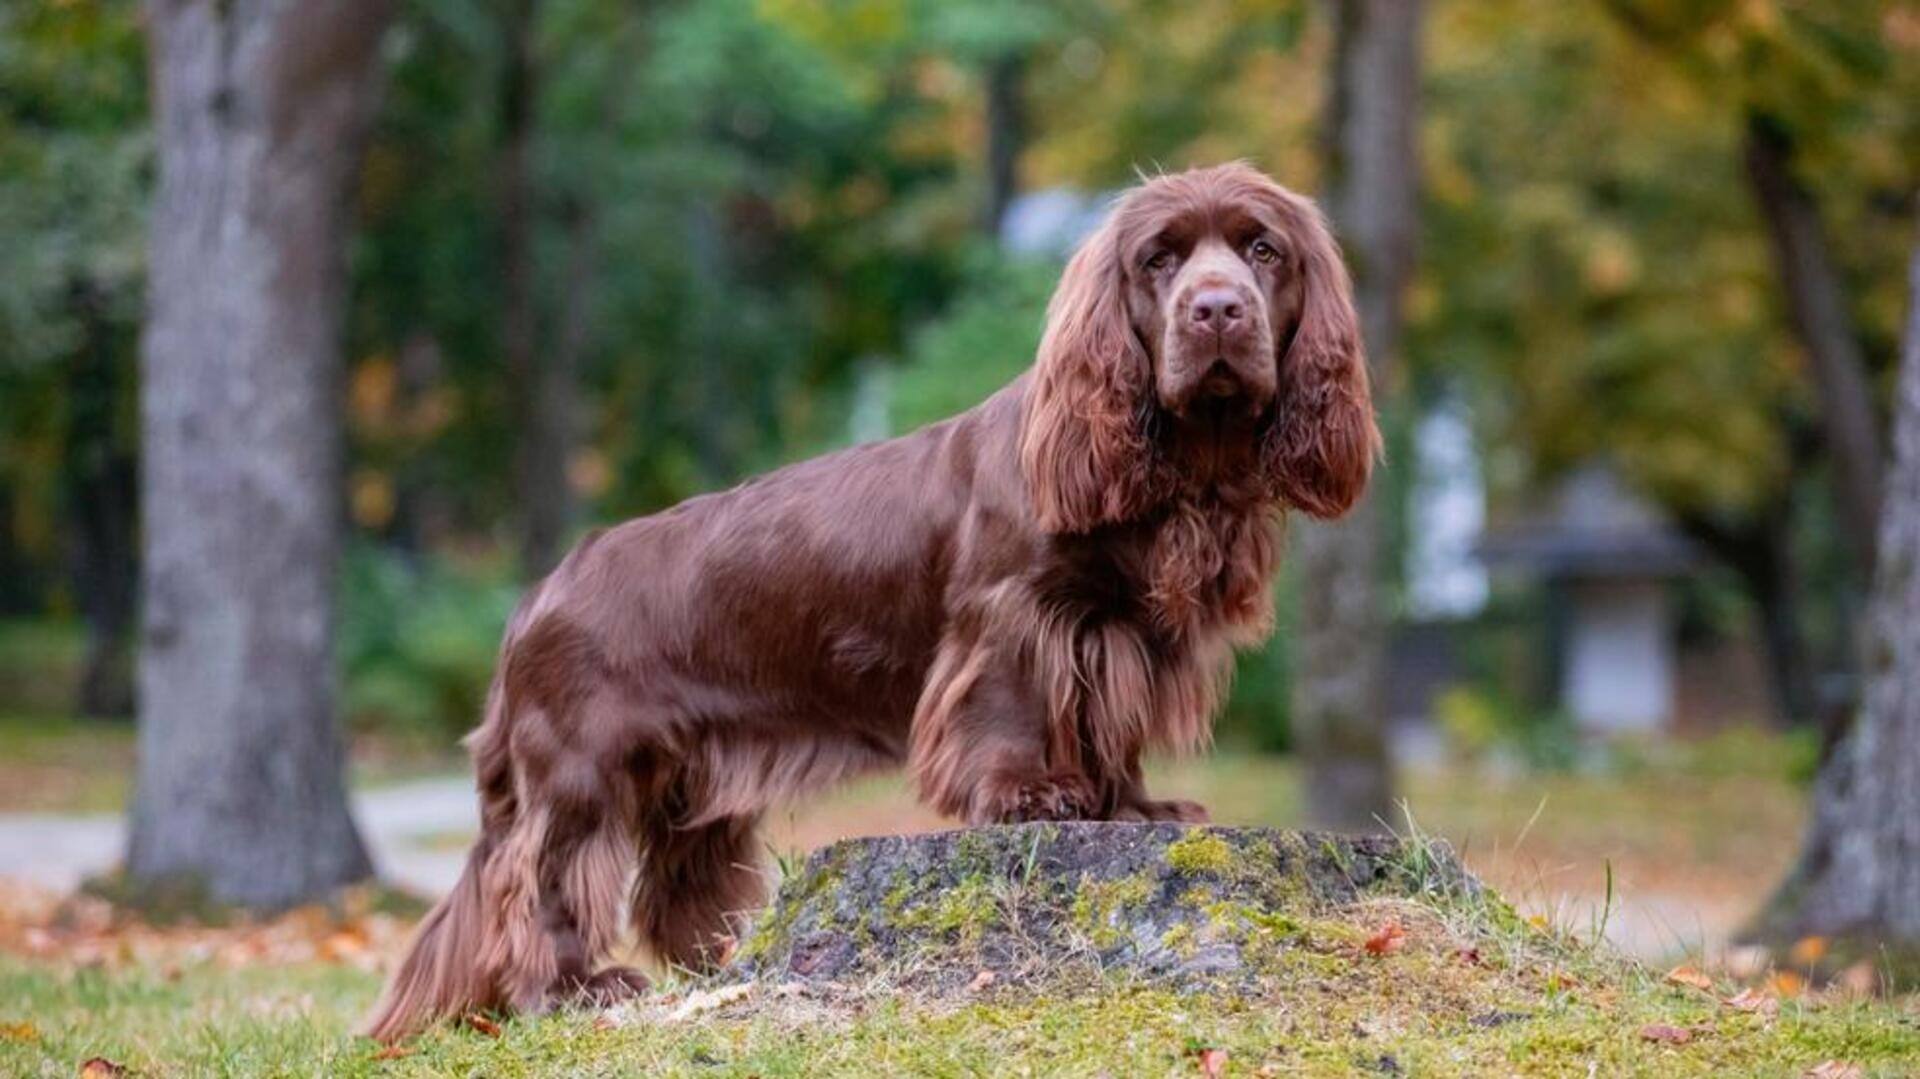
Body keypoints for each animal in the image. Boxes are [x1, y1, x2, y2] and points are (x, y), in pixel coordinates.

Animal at [362, 159, 1382, 1036]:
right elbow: (1016, 708)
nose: (1217, 310)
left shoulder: (1118, 635)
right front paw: (1030, 796)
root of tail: (536, 597)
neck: (1183, 472)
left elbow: (1107, 728)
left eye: (1263, 251)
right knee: (540, 880)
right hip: (582, 768)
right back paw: (574, 987)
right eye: (1159, 260)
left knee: (672, 882)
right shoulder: (1012, 617)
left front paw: (1131, 805)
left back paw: (714, 968)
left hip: (691, 780)